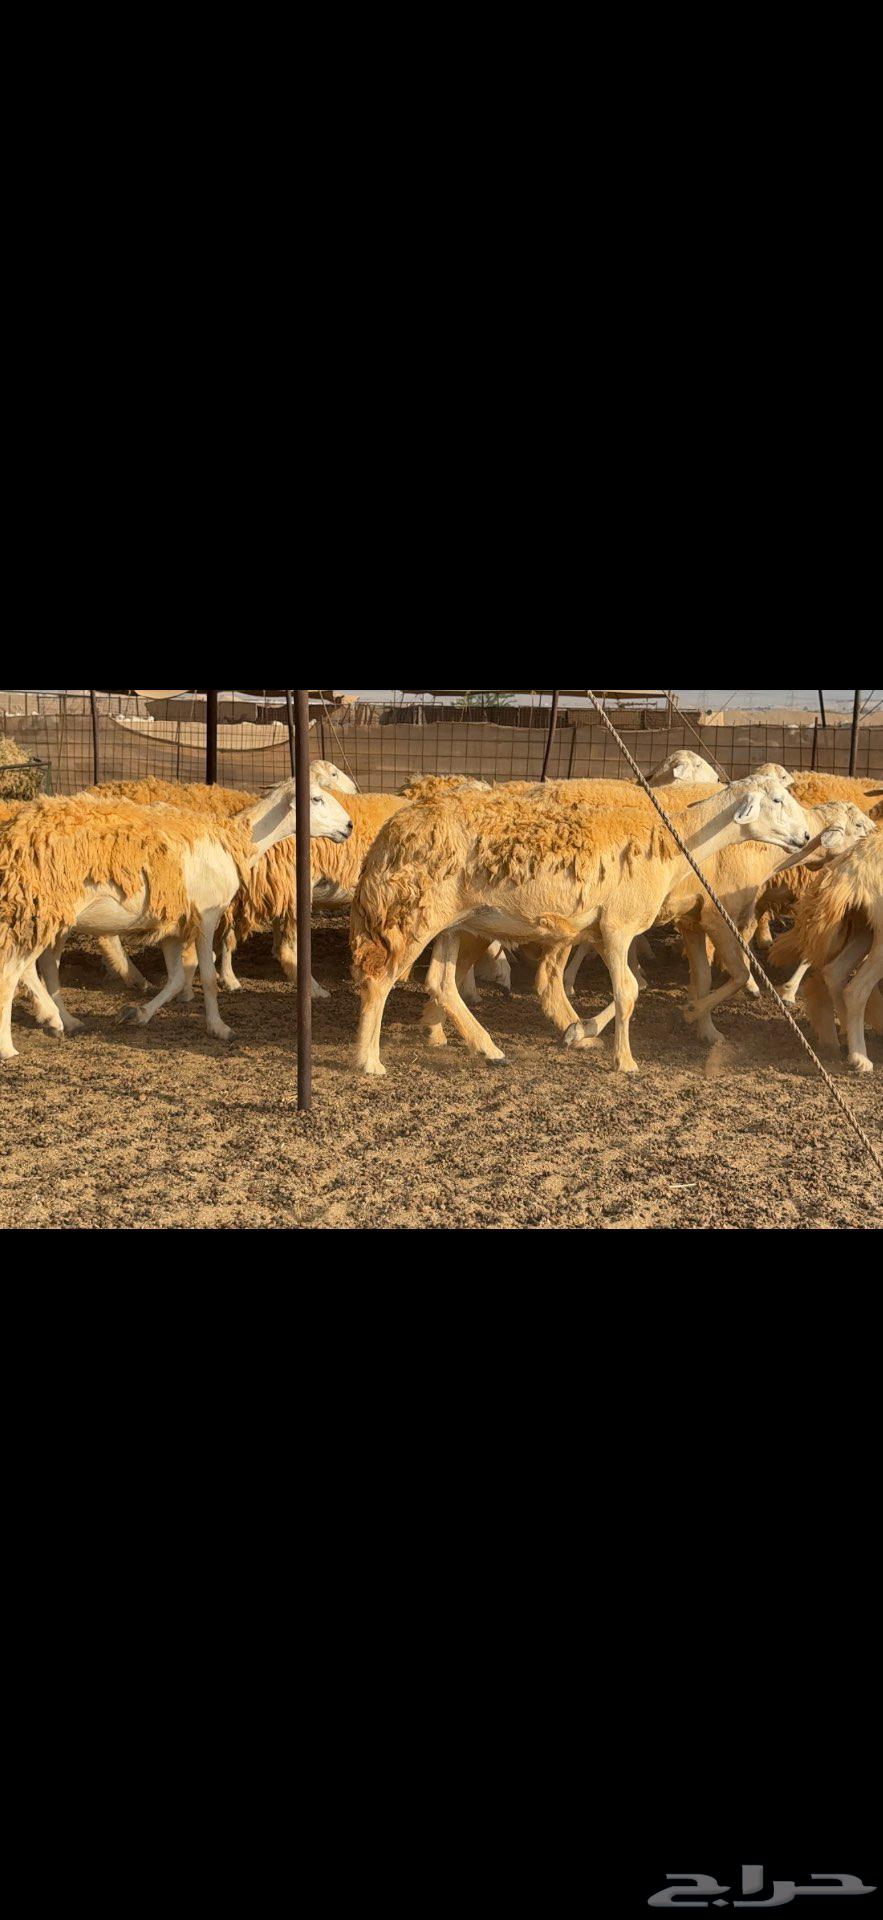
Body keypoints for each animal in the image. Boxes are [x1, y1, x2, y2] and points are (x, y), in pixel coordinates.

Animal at [0, 780, 353, 1059]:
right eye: (316, 799)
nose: (349, 826)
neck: (234, 840)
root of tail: (16, 837)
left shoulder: (172, 925)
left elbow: (178, 977)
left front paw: (139, 1013)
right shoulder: (207, 916)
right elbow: (207, 977)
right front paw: (219, 1027)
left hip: (51, 917)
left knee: (42, 967)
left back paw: (65, 1020)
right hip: (43, 910)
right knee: (13, 972)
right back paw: (15, 1042)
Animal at [350, 775, 813, 1077]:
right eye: (776, 800)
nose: (807, 836)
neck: (669, 842)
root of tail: (390, 834)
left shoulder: (603, 930)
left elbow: (636, 986)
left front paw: (580, 1031)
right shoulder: (620, 926)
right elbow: (627, 992)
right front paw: (625, 1061)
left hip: (452, 921)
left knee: (441, 983)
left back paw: (489, 1048)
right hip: (413, 914)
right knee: (380, 978)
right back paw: (369, 1060)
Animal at [768, 827, 883, 1072]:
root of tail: (853, 864)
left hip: (863, 929)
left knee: (835, 973)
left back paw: (847, 1037)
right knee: (855, 989)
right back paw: (860, 1058)